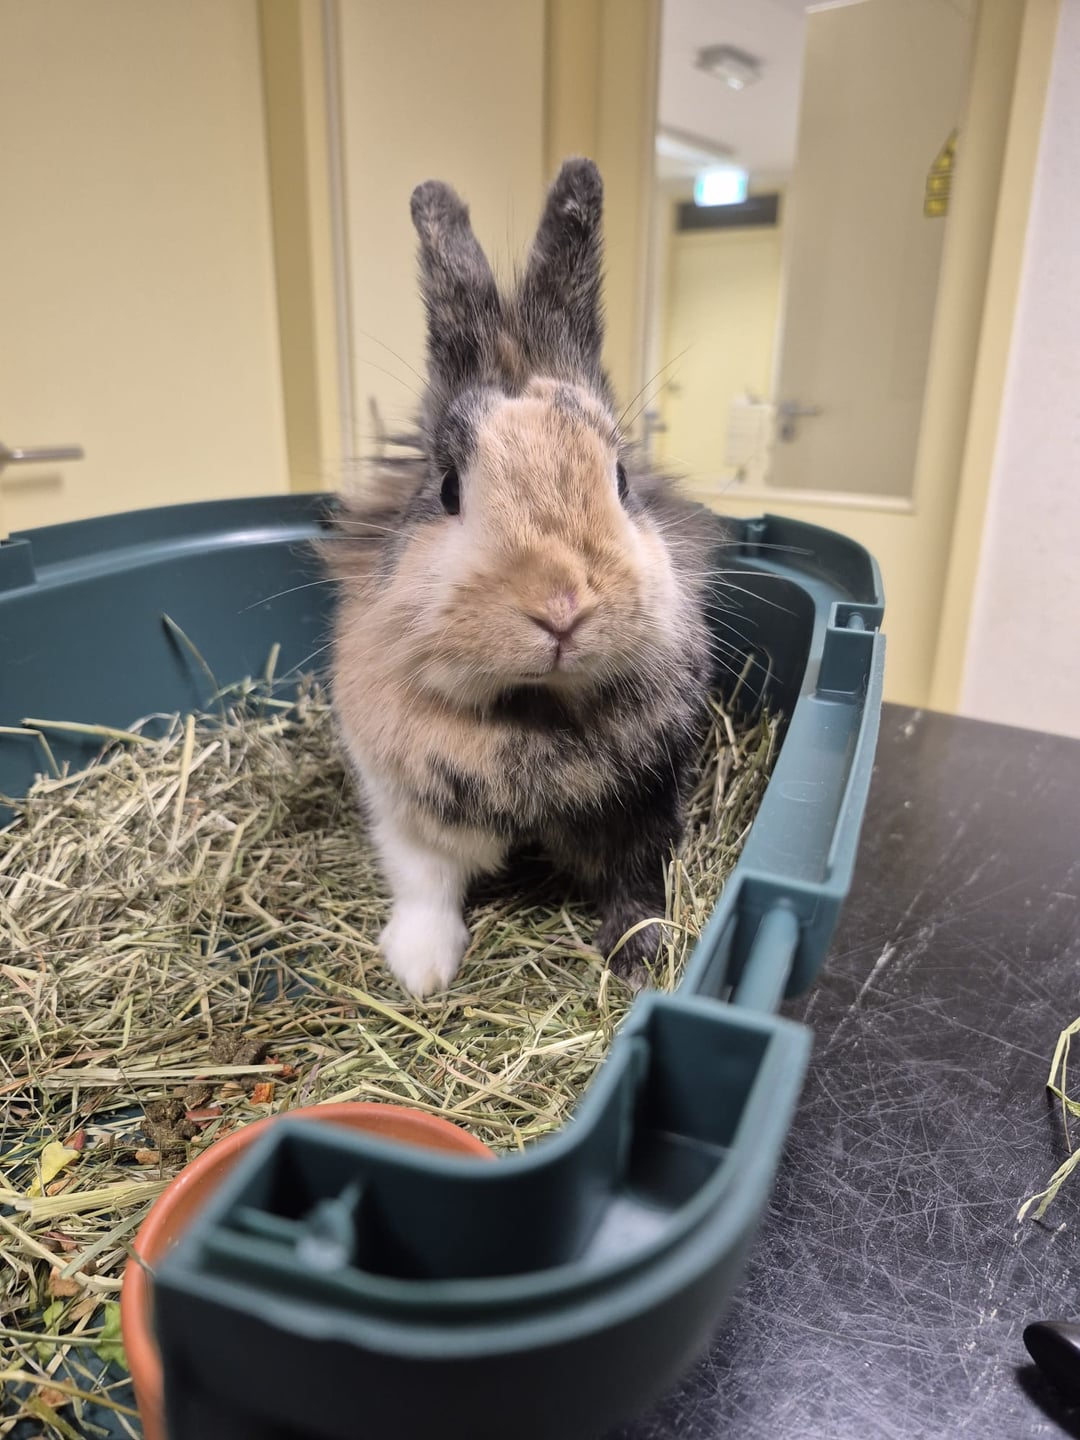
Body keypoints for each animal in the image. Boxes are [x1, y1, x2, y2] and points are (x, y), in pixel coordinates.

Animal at [327, 157, 722, 998]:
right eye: (448, 487)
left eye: (621, 479)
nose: (561, 605)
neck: (533, 708)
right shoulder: (402, 806)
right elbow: (425, 884)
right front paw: (421, 971)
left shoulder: (648, 803)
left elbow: (637, 882)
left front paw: (636, 959)